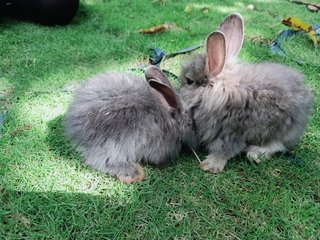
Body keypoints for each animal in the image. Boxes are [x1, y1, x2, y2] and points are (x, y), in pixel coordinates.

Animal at [181, 13, 314, 173]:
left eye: (189, 81)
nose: (178, 93)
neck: (218, 93)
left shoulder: (232, 132)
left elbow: (225, 150)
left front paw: (210, 165)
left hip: (280, 128)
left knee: (278, 144)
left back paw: (254, 153)